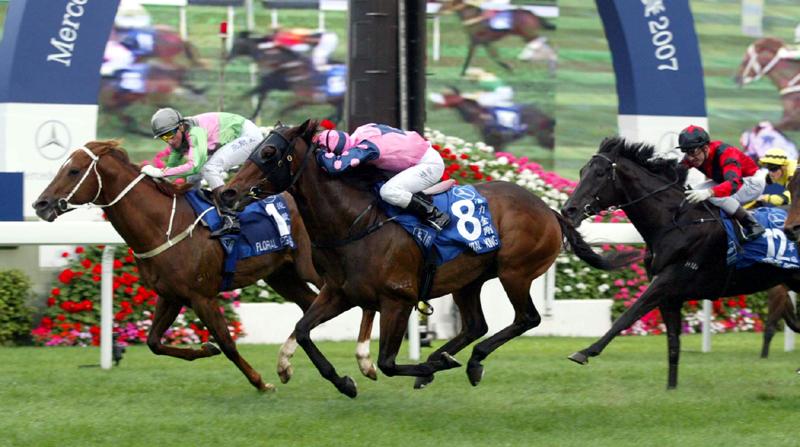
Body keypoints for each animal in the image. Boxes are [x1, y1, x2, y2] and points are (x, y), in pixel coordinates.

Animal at [32, 140, 377, 392]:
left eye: (74, 171)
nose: (40, 204)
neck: (162, 224)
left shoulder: (202, 296)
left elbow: (228, 342)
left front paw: (259, 382)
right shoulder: (170, 295)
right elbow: (154, 342)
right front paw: (205, 349)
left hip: (316, 271)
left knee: (363, 299)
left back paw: (364, 361)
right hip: (283, 276)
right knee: (312, 307)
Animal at [217, 120, 638, 398]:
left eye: (268, 152)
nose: (227, 192)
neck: (353, 223)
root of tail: (550, 210)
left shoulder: (397, 299)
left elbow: (387, 363)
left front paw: (423, 366)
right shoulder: (340, 293)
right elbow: (303, 330)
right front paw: (343, 382)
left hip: (515, 272)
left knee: (526, 318)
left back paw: (465, 361)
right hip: (469, 280)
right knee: (476, 325)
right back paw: (446, 358)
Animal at [561, 137, 800, 389]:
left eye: (599, 173)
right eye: (581, 171)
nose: (569, 210)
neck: (674, 222)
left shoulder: (667, 281)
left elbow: (627, 316)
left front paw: (585, 352)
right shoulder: (670, 296)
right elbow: (673, 343)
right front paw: (671, 388)